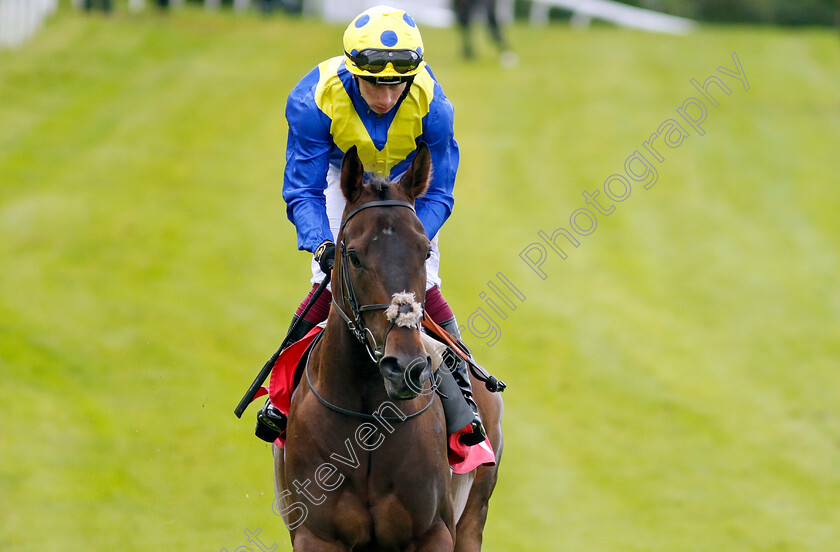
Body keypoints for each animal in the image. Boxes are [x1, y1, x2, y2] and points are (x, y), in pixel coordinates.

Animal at [272, 144, 502, 548]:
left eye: (425, 252)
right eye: (353, 256)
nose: (406, 366)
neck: (368, 420)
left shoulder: (432, 534)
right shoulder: (317, 535)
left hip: (473, 516)